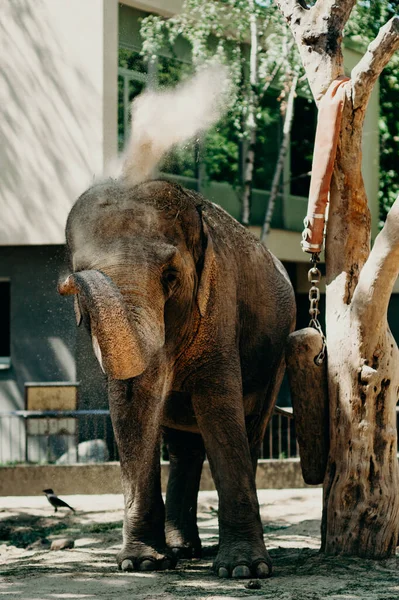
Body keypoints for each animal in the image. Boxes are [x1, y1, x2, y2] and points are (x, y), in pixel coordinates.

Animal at [59, 176, 296, 580]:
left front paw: (243, 570)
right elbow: (134, 408)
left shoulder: (219, 302)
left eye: (171, 276)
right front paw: (142, 563)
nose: (68, 282)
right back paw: (183, 550)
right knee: (184, 448)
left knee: (249, 431)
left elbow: (218, 408)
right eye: (81, 269)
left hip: (277, 357)